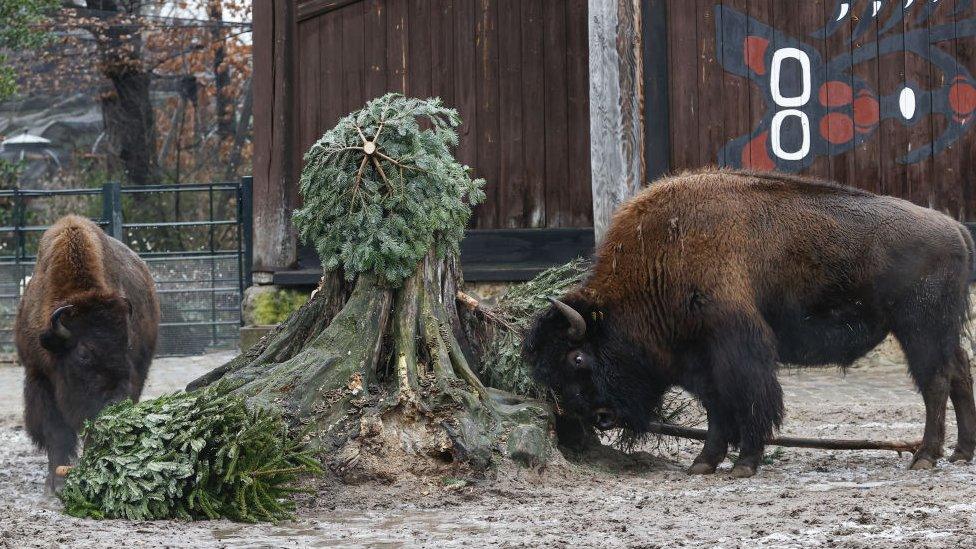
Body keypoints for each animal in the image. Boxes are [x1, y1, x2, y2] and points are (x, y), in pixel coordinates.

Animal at [16, 215, 160, 492]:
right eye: (83, 354)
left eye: (126, 345)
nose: (115, 402)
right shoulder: (38, 375)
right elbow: (56, 432)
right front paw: (56, 482)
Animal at [528, 169, 976, 478]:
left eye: (578, 358)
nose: (599, 416)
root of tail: (954, 227)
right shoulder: (697, 362)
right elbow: (716, 408)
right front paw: (702, 464)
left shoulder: (736, 346)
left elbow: (747, 399)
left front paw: (744, 463)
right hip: (939, 331)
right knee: (959, 373)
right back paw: (961, 453)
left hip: (920, 329)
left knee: (935, 382)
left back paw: (925, 457)